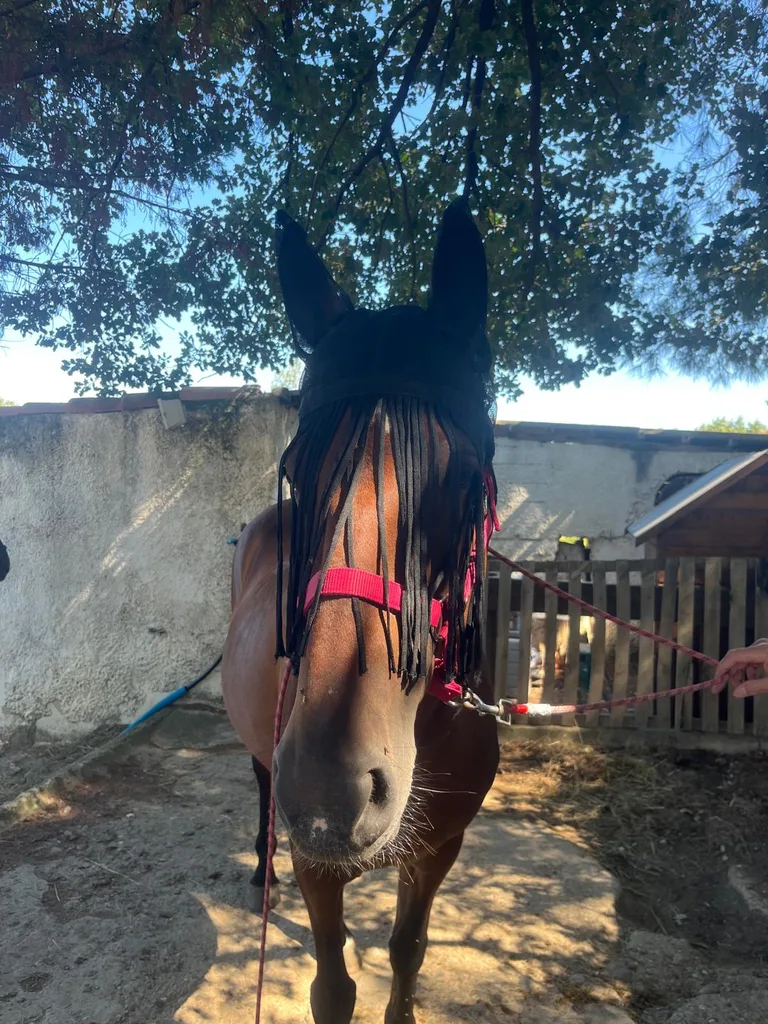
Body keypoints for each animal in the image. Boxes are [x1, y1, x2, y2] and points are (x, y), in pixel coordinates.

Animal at [222, 198, 500, 1024]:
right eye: (294, 469)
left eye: (463, 479)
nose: (330, 791)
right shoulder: (317, 861)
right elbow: (332, 988)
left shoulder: (441, 847)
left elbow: (408, 951)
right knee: (261, 791)